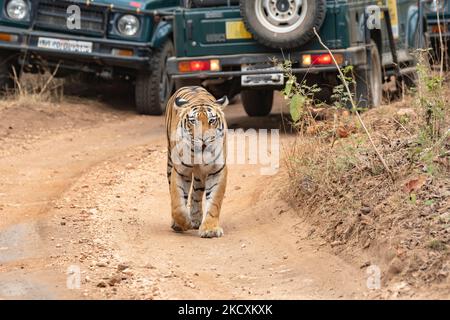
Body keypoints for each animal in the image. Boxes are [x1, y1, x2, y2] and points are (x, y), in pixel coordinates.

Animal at [165, 86, 229, 239]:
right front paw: (182, 223)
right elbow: (177, 202)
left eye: (212, 121)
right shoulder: (180, 171)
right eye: (193, 121)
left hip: (200, 176)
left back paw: (196, 218)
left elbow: (214, 202)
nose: (204, 139)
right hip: (170, 162)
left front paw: (210, 229)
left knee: (196, 193)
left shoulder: (217, 170)